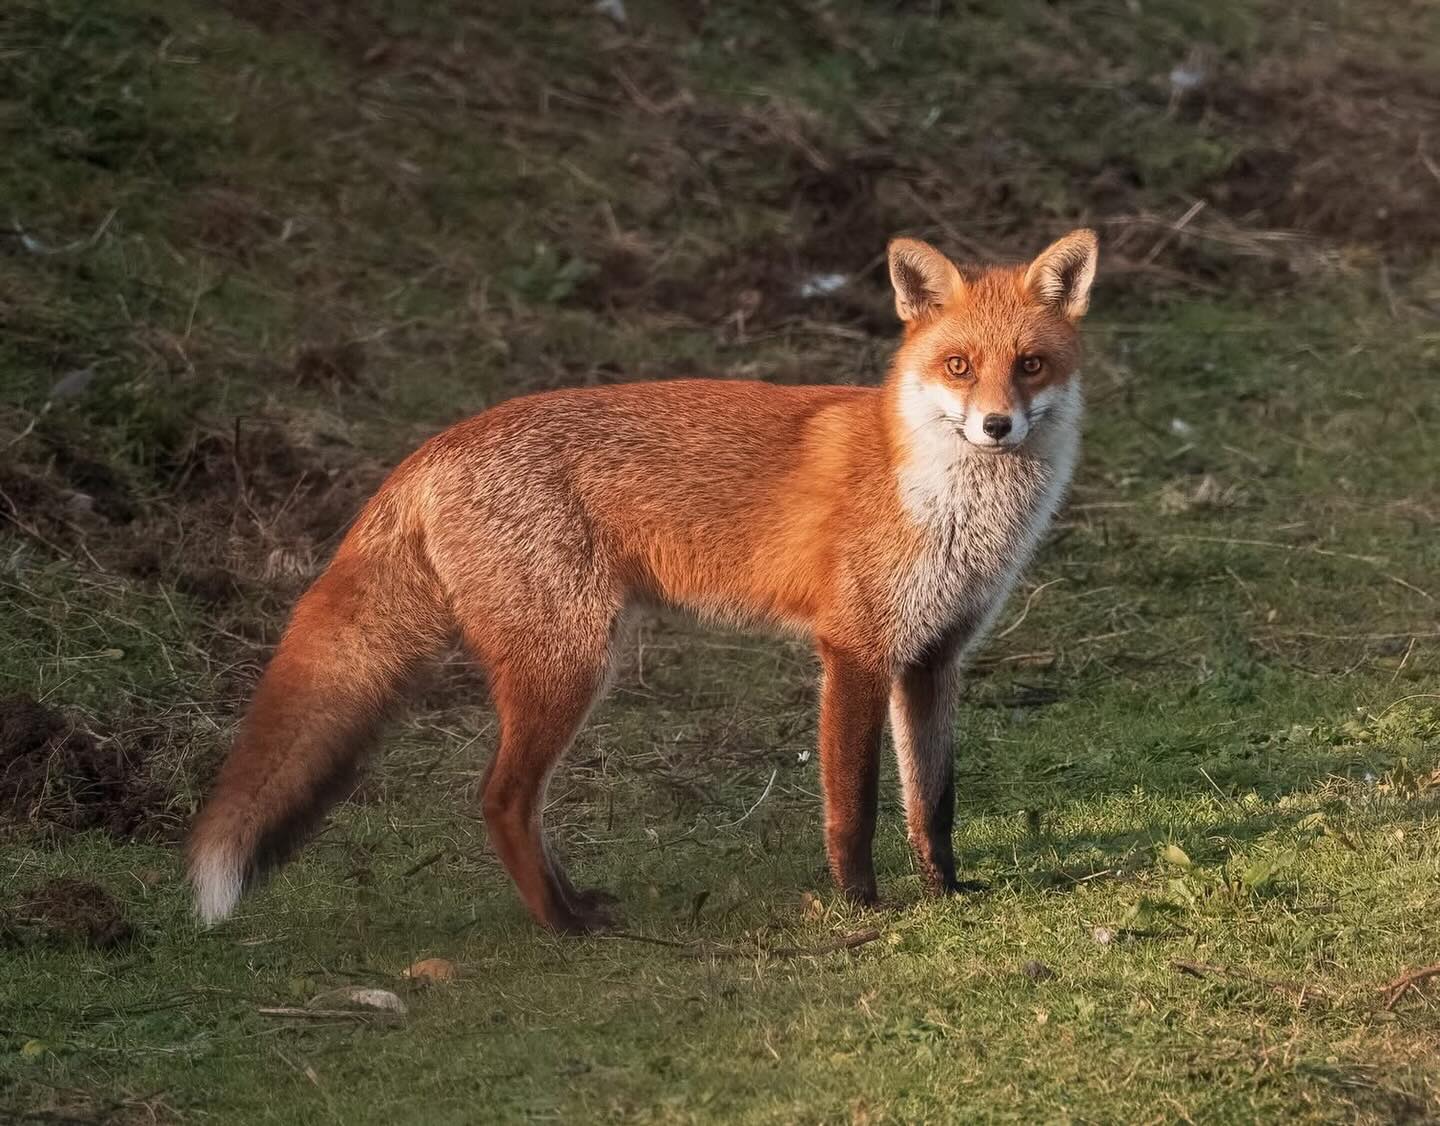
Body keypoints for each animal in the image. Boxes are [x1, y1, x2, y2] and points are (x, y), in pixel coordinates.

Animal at [188, 229, 1098, 933]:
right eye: (958, 365)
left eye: (1029, 365)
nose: (997, 425)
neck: (946, 500)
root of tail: (439, 443)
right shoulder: (854, 651)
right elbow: (853, 804)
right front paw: (860, 903)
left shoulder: (934, 657)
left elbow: (932, 800)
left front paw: (945, 888)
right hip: (569, 664)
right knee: (500, 800)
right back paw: (561, 925)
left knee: (515, 804)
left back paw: (573, 904)